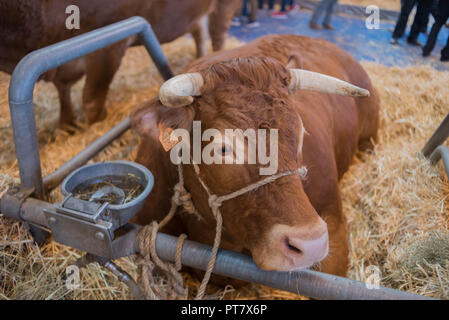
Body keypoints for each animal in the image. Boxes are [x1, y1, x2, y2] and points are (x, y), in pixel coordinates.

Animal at [0, 0, 242, 126]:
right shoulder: (58, 60)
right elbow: (64, 90)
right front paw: (66, 124)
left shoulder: (108, 46)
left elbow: (91, 99)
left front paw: (95, 124)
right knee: (199, 30)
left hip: (226, 4)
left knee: (217, 33)